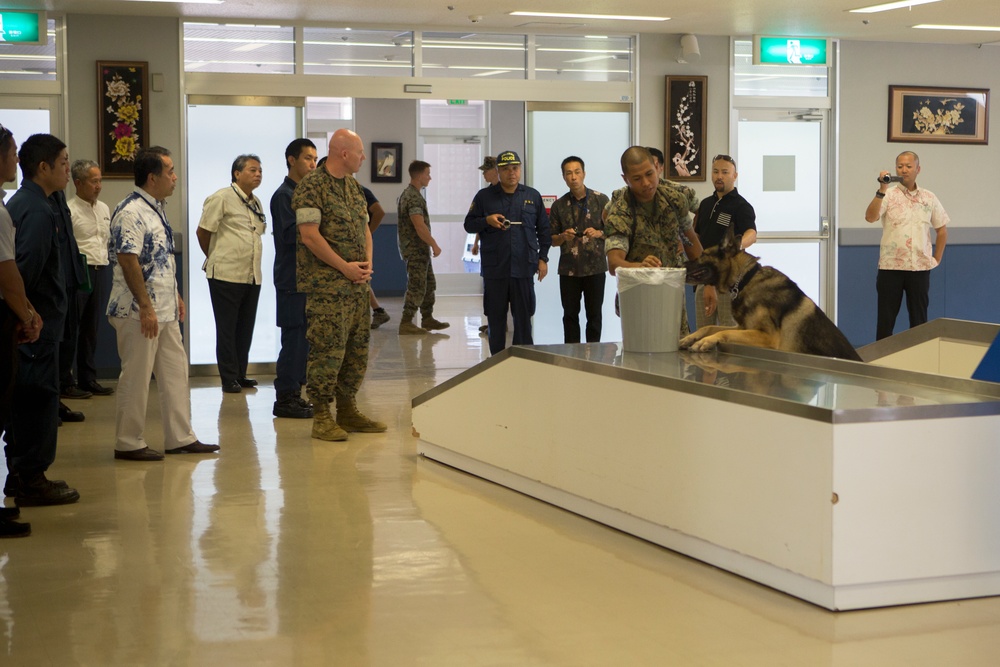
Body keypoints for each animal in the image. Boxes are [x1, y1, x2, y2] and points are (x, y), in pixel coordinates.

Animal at [684, 235, 864, 360]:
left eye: (703, 254)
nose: (682, 263)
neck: (745, 279)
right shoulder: (742, 327)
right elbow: (709, 327)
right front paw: (691, 337)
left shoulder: (766, 336)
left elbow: (723, 332)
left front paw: (706, 341)